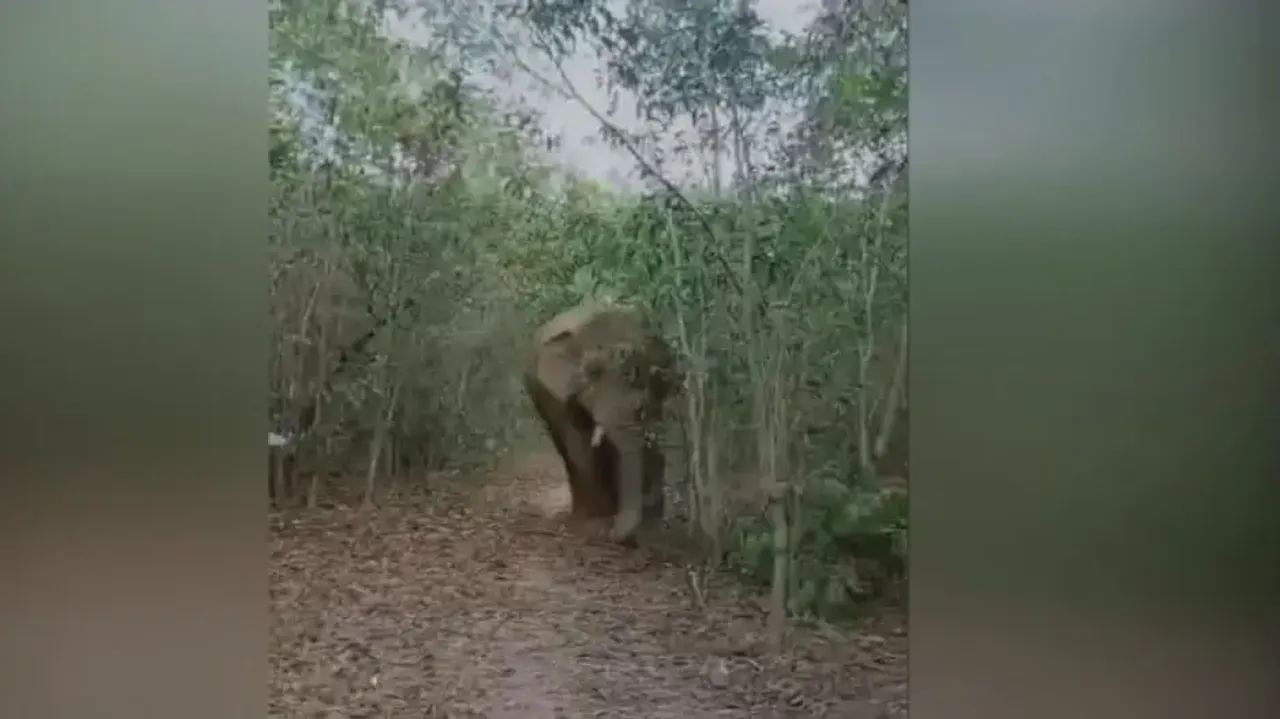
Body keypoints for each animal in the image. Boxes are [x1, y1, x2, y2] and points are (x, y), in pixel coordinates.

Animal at [524, 302, 678, 543]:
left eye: (650, 377)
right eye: (592, 371)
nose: (612, 533)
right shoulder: (557, 395)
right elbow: (579, 444)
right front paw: (593, 523)